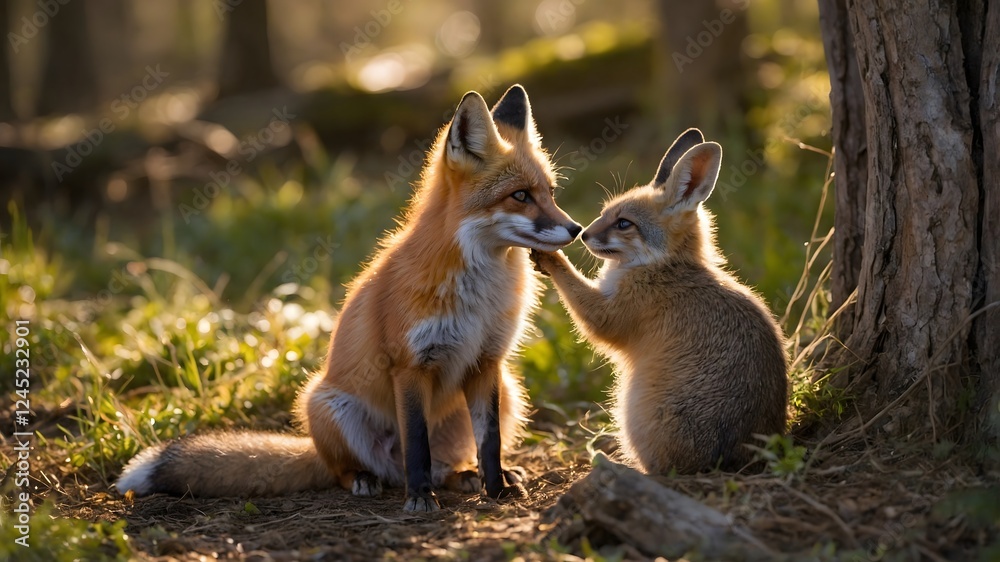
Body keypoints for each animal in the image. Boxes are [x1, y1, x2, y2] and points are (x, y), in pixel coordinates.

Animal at [116, 85, 582, 511]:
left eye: (551, 192)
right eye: (520, 195)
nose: (576, 229)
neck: (479, 294)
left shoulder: (487, 362)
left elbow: (490, 443)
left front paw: (496, 488)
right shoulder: (409, 365)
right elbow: (417, 443)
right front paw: (419, 500)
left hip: (509, 390)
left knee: (442, 462)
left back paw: (463, 475)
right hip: (326, 404)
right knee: (357, 469)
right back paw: (368, 479)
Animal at [530, 128, 788, 474]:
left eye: (623, 223)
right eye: (604, 213)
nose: (583, 234)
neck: (663, 267)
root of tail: (732, 460)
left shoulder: (606, 316)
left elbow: (575, 289)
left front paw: (552, 257)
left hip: (631, 409)